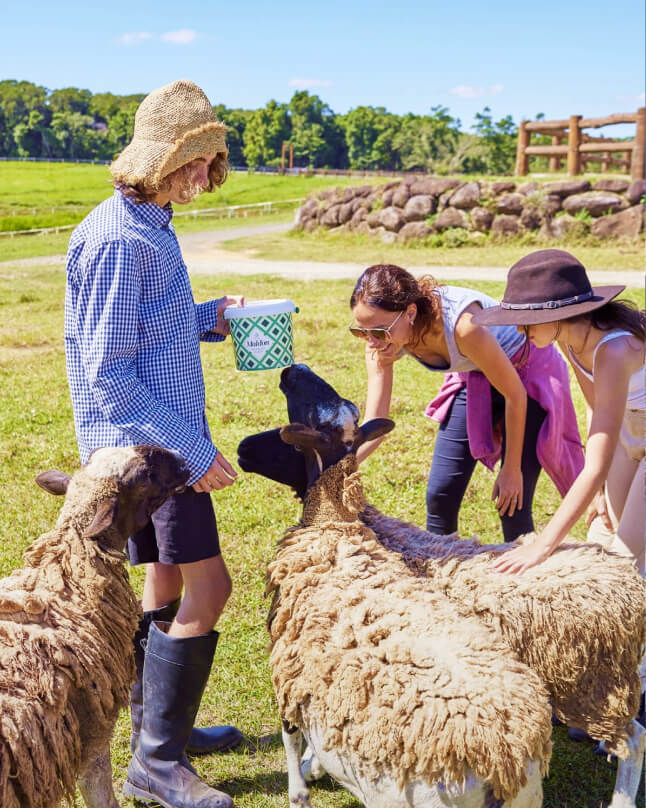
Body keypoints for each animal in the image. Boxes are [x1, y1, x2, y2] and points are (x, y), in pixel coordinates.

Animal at [240, 364, 646, 808]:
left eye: (294, 428)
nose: (243, 448)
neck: (339, 527)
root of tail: (502, 761)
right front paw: (316, 766)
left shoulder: (289, 666)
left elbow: (291, 740)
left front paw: (301, 785)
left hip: (594, 687)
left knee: (634, 740)